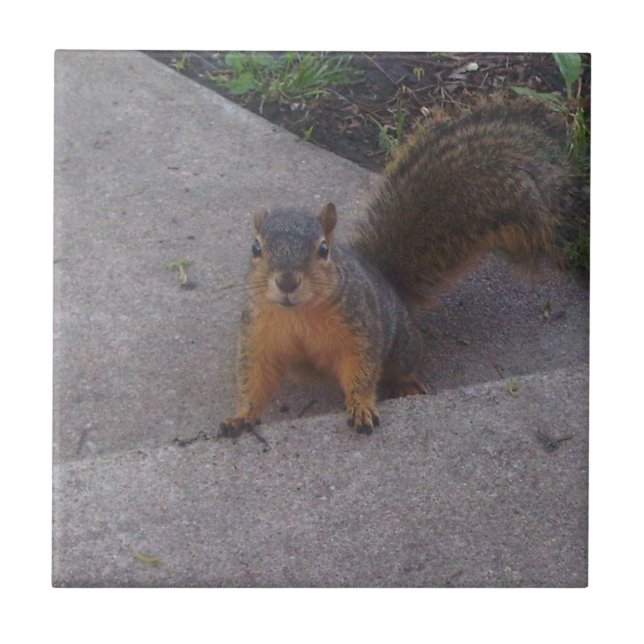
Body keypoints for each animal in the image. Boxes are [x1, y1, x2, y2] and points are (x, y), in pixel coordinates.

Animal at [219, 104, 583, 437]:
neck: (299, 315)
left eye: (323, 249)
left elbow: (362, 371)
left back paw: (407, 386)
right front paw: (241, 416)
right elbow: (253, 378)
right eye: (255, 248)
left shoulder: (362, 329)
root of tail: (386, 284)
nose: (287, 281)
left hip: (403, 346)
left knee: (402, 366)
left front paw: (361, 407)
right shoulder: (258, 336)